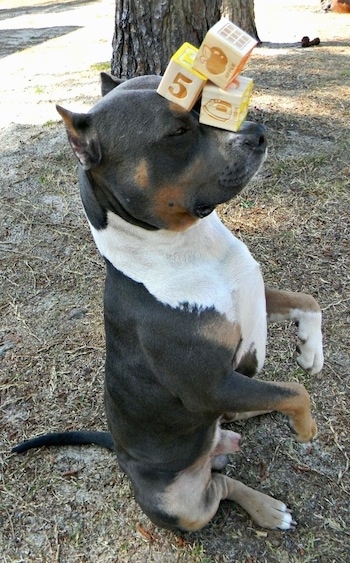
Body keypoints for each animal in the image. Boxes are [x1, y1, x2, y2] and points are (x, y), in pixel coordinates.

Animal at [12, 74, 324, 532]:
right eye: (177, 132)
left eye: (204, 103)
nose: (257, 132)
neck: (186, 244)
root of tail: (120, 455)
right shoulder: (211, 383)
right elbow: (296, 392)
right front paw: (305, 426)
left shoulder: (254, 299)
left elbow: (308, 302)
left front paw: (310, 350)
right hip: (181, 503)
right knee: (221, 485)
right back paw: (267, 507)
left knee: (239, 423)